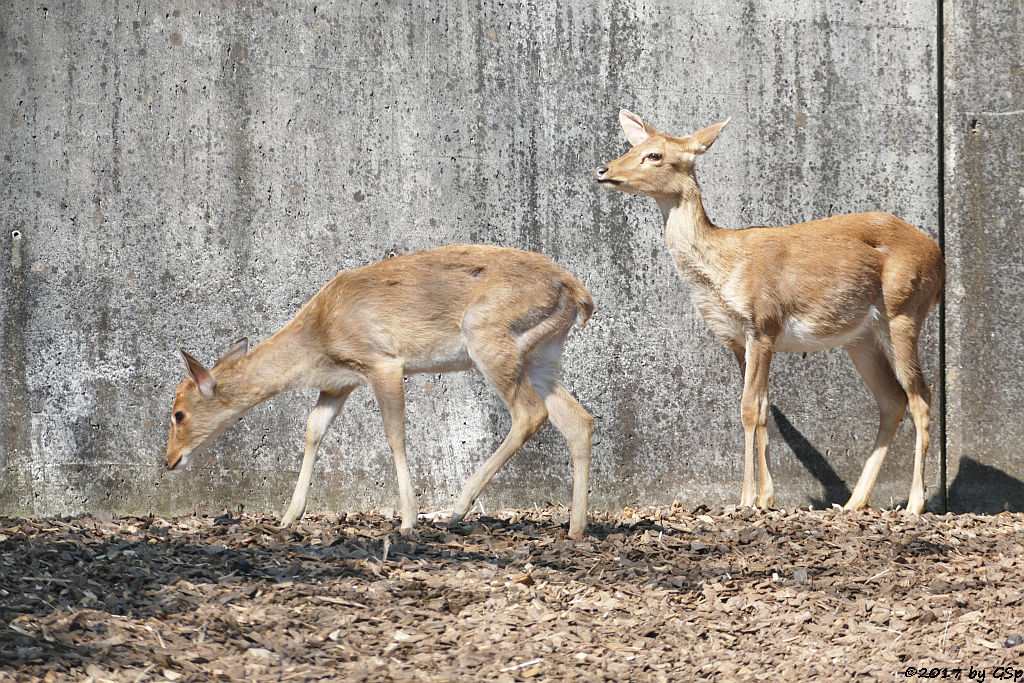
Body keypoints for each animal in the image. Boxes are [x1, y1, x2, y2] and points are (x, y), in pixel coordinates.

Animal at [164, 244, 598, 540]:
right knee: (579, 419)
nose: (169, 460)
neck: (318, 341)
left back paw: (458, 509)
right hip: (541, 354)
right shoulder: (339, 383)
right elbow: (313, 429)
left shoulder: (383, 362)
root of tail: (580, 294)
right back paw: (576, 528)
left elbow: (394, 432)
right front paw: (289, 517)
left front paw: (407, 520)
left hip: (488, 337)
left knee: (530, 413)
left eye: (178, 413)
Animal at [593, 112, 942, 516]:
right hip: (861, 337)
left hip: (905, 310)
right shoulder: (737, 339)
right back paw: (854, 502)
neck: (723, 266)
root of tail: (940, 259)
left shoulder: (762, 324)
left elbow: (748, 409)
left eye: (654, 154)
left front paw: (745, 499)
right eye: (632, 147)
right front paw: (765, 498)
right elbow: (761, 409)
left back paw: (915, 504)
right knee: (892, 399)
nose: (602, 169)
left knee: (921, 396)